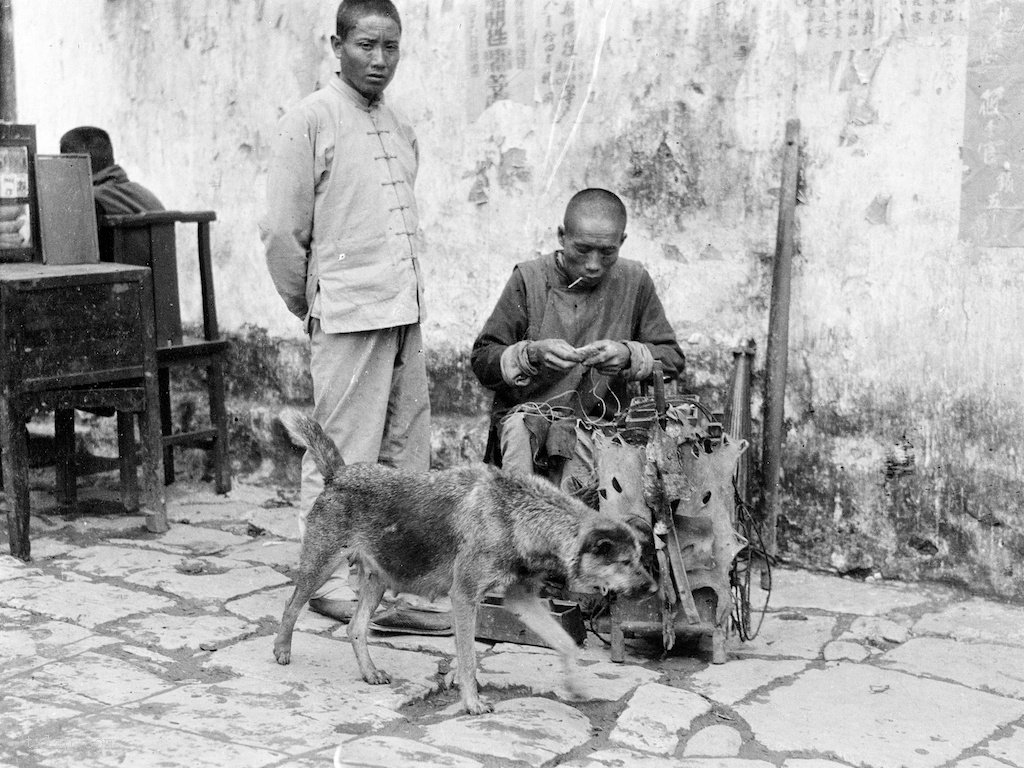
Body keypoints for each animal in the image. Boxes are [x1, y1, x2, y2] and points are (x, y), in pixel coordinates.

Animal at [272, 411, 655, 720]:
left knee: (354, 627)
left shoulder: (521, 600)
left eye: (639, 558)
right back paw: (282, 650)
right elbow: (468, 658)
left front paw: (575, 685)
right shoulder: (464, 597)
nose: (651, 588)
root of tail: (338, 474)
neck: (518, 514)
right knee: (291, 605)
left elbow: (565, 643)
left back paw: (370, 672)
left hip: (379, 578)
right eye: (625, 562)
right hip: (321, 566)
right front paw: (471, 703)